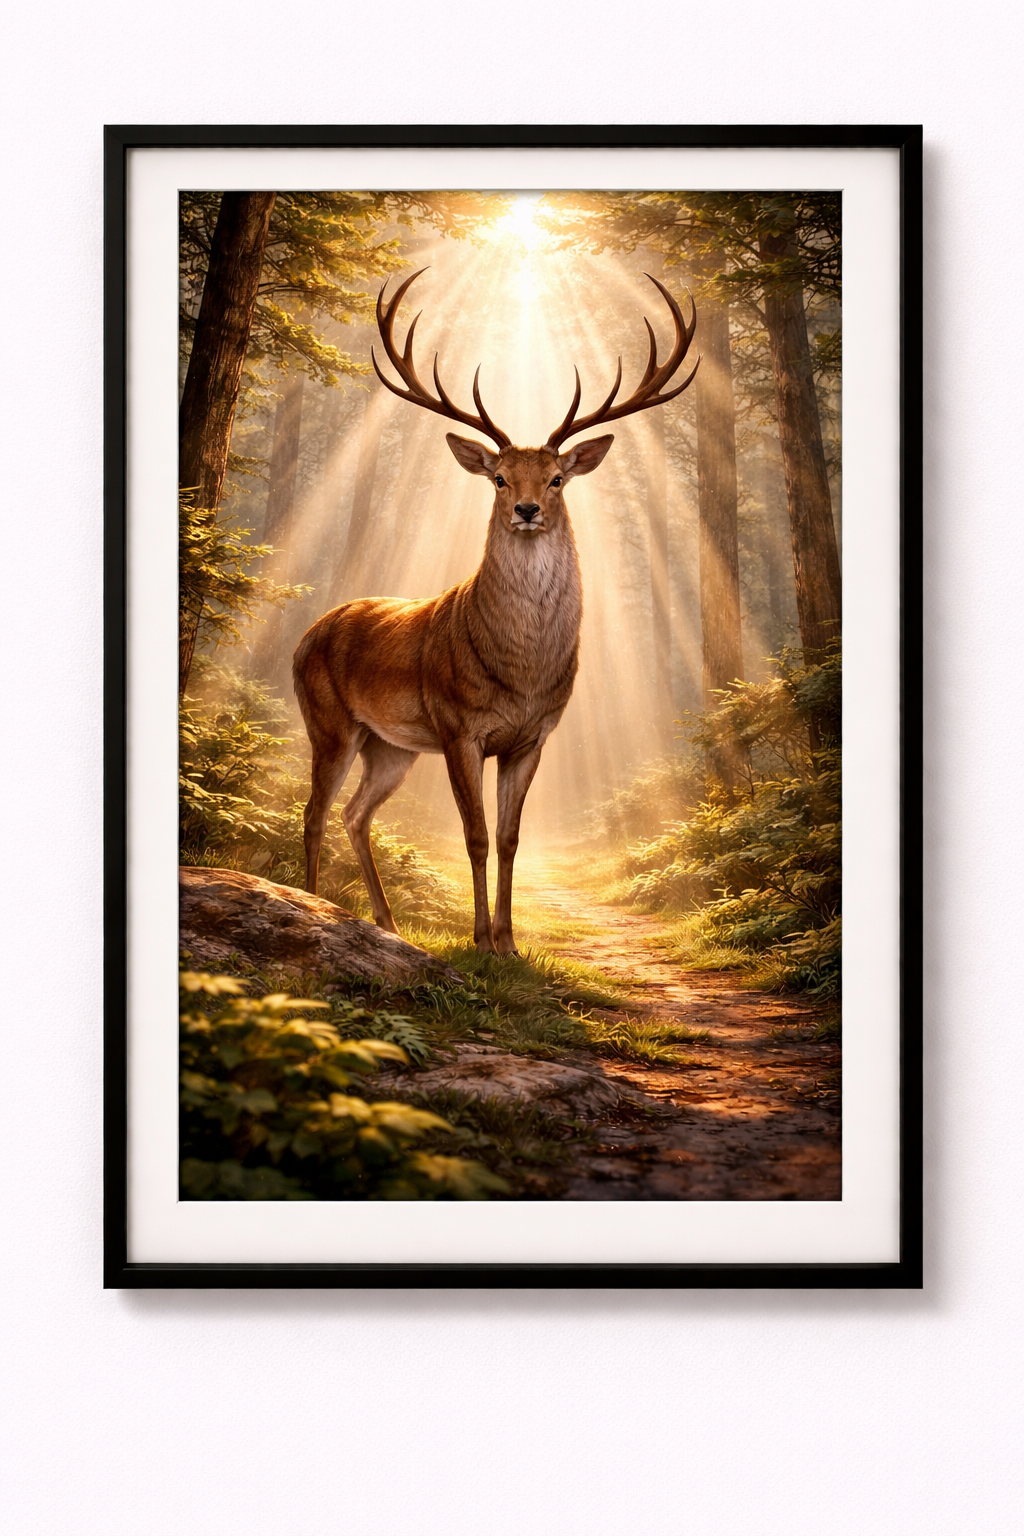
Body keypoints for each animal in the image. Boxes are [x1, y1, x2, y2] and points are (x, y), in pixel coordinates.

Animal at [293, 269, 699, 955]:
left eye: (557, 477)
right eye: (499, 477)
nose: (527, 509)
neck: (522, 675)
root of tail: (305, 636)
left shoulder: (533, 736)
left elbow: (510, 839)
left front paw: (509, 943)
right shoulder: (460, 727)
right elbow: (476, 837)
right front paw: (482, 941)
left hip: (390, 747)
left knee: (355, 812)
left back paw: (387, 924)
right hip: (329, 722)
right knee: (314, 811)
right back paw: (312, 907)